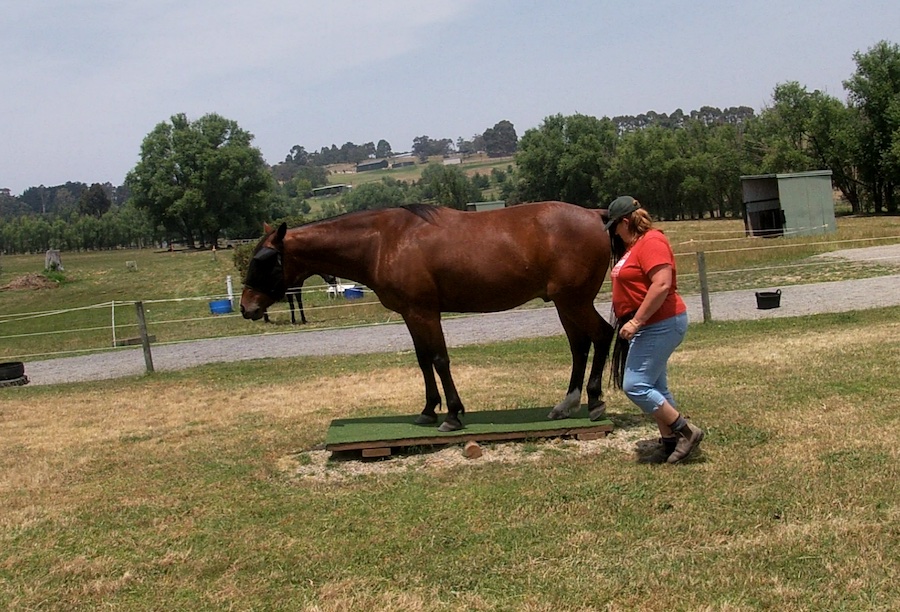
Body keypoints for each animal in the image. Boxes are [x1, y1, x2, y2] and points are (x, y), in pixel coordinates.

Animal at [243, 201, 616, 430]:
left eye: (264, 260)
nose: (247, 308)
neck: (384, 241)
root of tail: (594, 215)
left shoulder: (424, 312)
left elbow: (439, 359)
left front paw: (451, 414)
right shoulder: (411, 315)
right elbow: (423, 360)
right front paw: (427, 410)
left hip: (574, 301)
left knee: (601, 335)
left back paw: (595, 401)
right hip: (564, 303)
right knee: (580, 345)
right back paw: (566, 404)